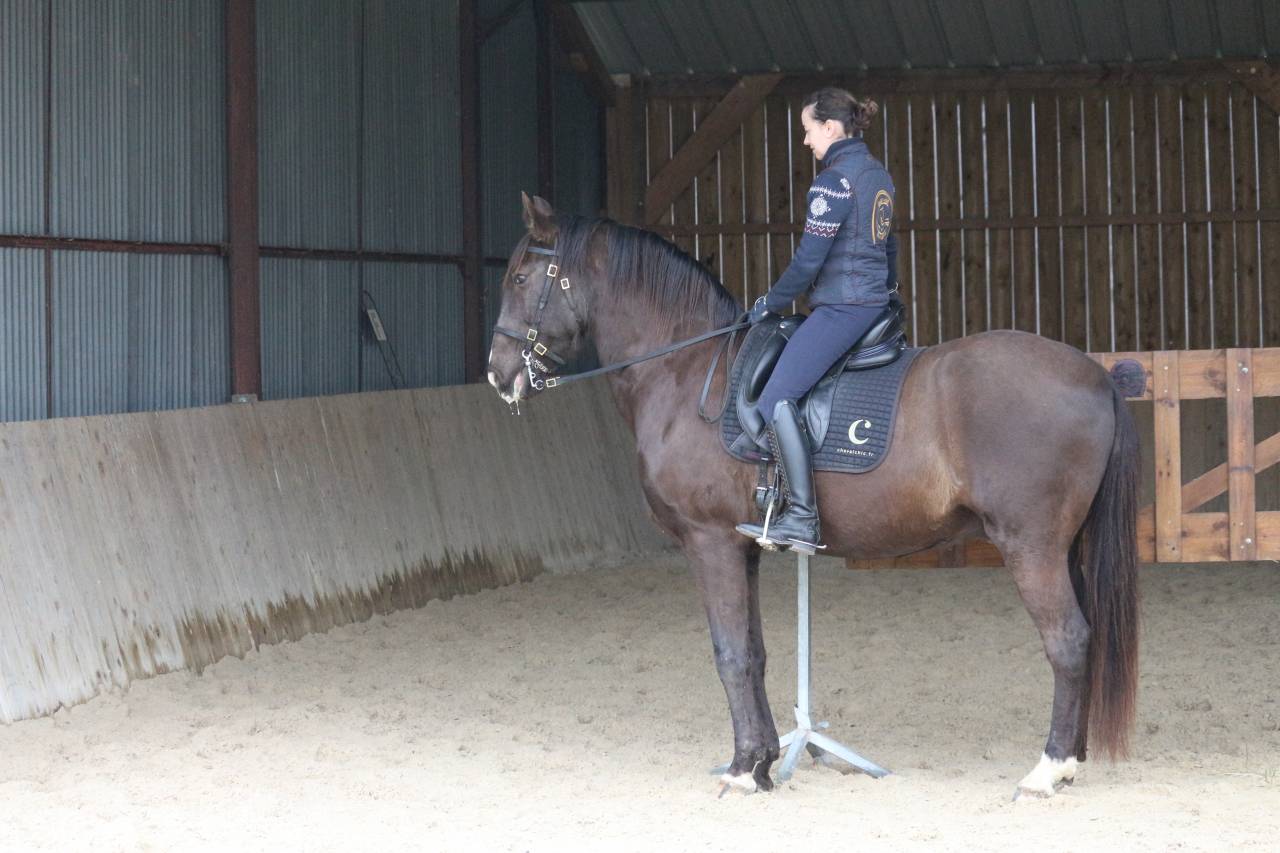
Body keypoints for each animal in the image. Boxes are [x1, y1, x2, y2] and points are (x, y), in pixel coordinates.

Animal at [487, 193, 1139, 799]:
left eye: (519, 278)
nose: (496, 372)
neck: (685, 369)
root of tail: (1095, 375)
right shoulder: (741, 547)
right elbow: (755, 653)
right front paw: (760, 760)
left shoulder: (708, 542)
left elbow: (730, 654)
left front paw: (744, 772)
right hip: (1065, 549)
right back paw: (1070, 759)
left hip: (1031, 546)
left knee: (1068, 640)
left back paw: (1048, 769)